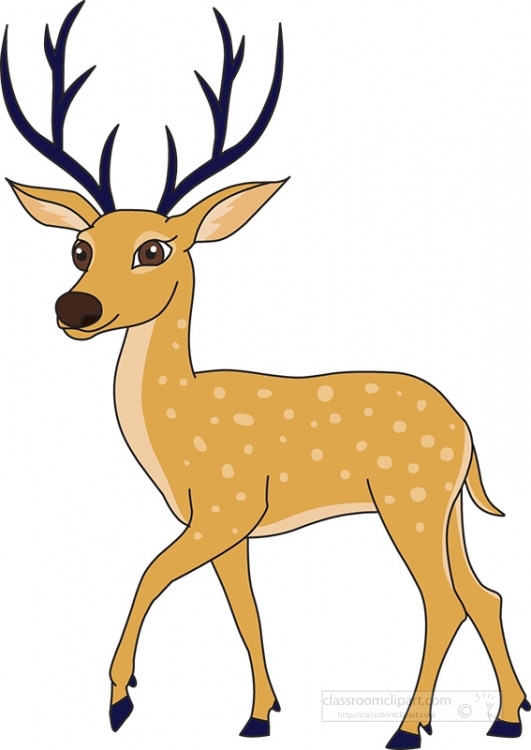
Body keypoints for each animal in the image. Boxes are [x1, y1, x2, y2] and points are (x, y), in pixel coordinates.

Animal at [1, 3, 528, 748]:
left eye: (154, 249)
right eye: (80, 248)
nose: (75, 308)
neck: (179, 428)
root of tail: (467, 429)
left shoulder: (227, 504)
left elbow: (149, 572)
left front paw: (120, 701)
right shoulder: (231, 529)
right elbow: (243, 610)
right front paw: (258, 715)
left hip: (409, 497)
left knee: (443, 600)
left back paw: (406, 729)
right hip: (447, 506)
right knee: (485, 593)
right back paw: (506, 718)